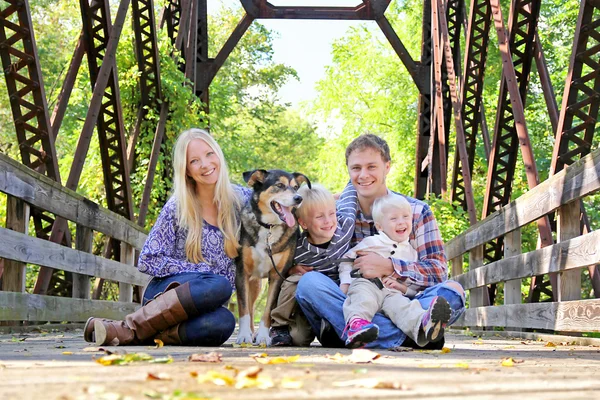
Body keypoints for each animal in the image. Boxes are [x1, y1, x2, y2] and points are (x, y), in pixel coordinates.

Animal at [234, 168, 312, 344]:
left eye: (296, 187)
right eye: (279, 185)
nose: (299, 198)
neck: (269, 227)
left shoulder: (278, 276)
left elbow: (268, 310)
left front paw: (263, 336)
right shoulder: (242, 272)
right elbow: (243, 308)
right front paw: (243, 335)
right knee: (250, 307)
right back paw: (250, 333)